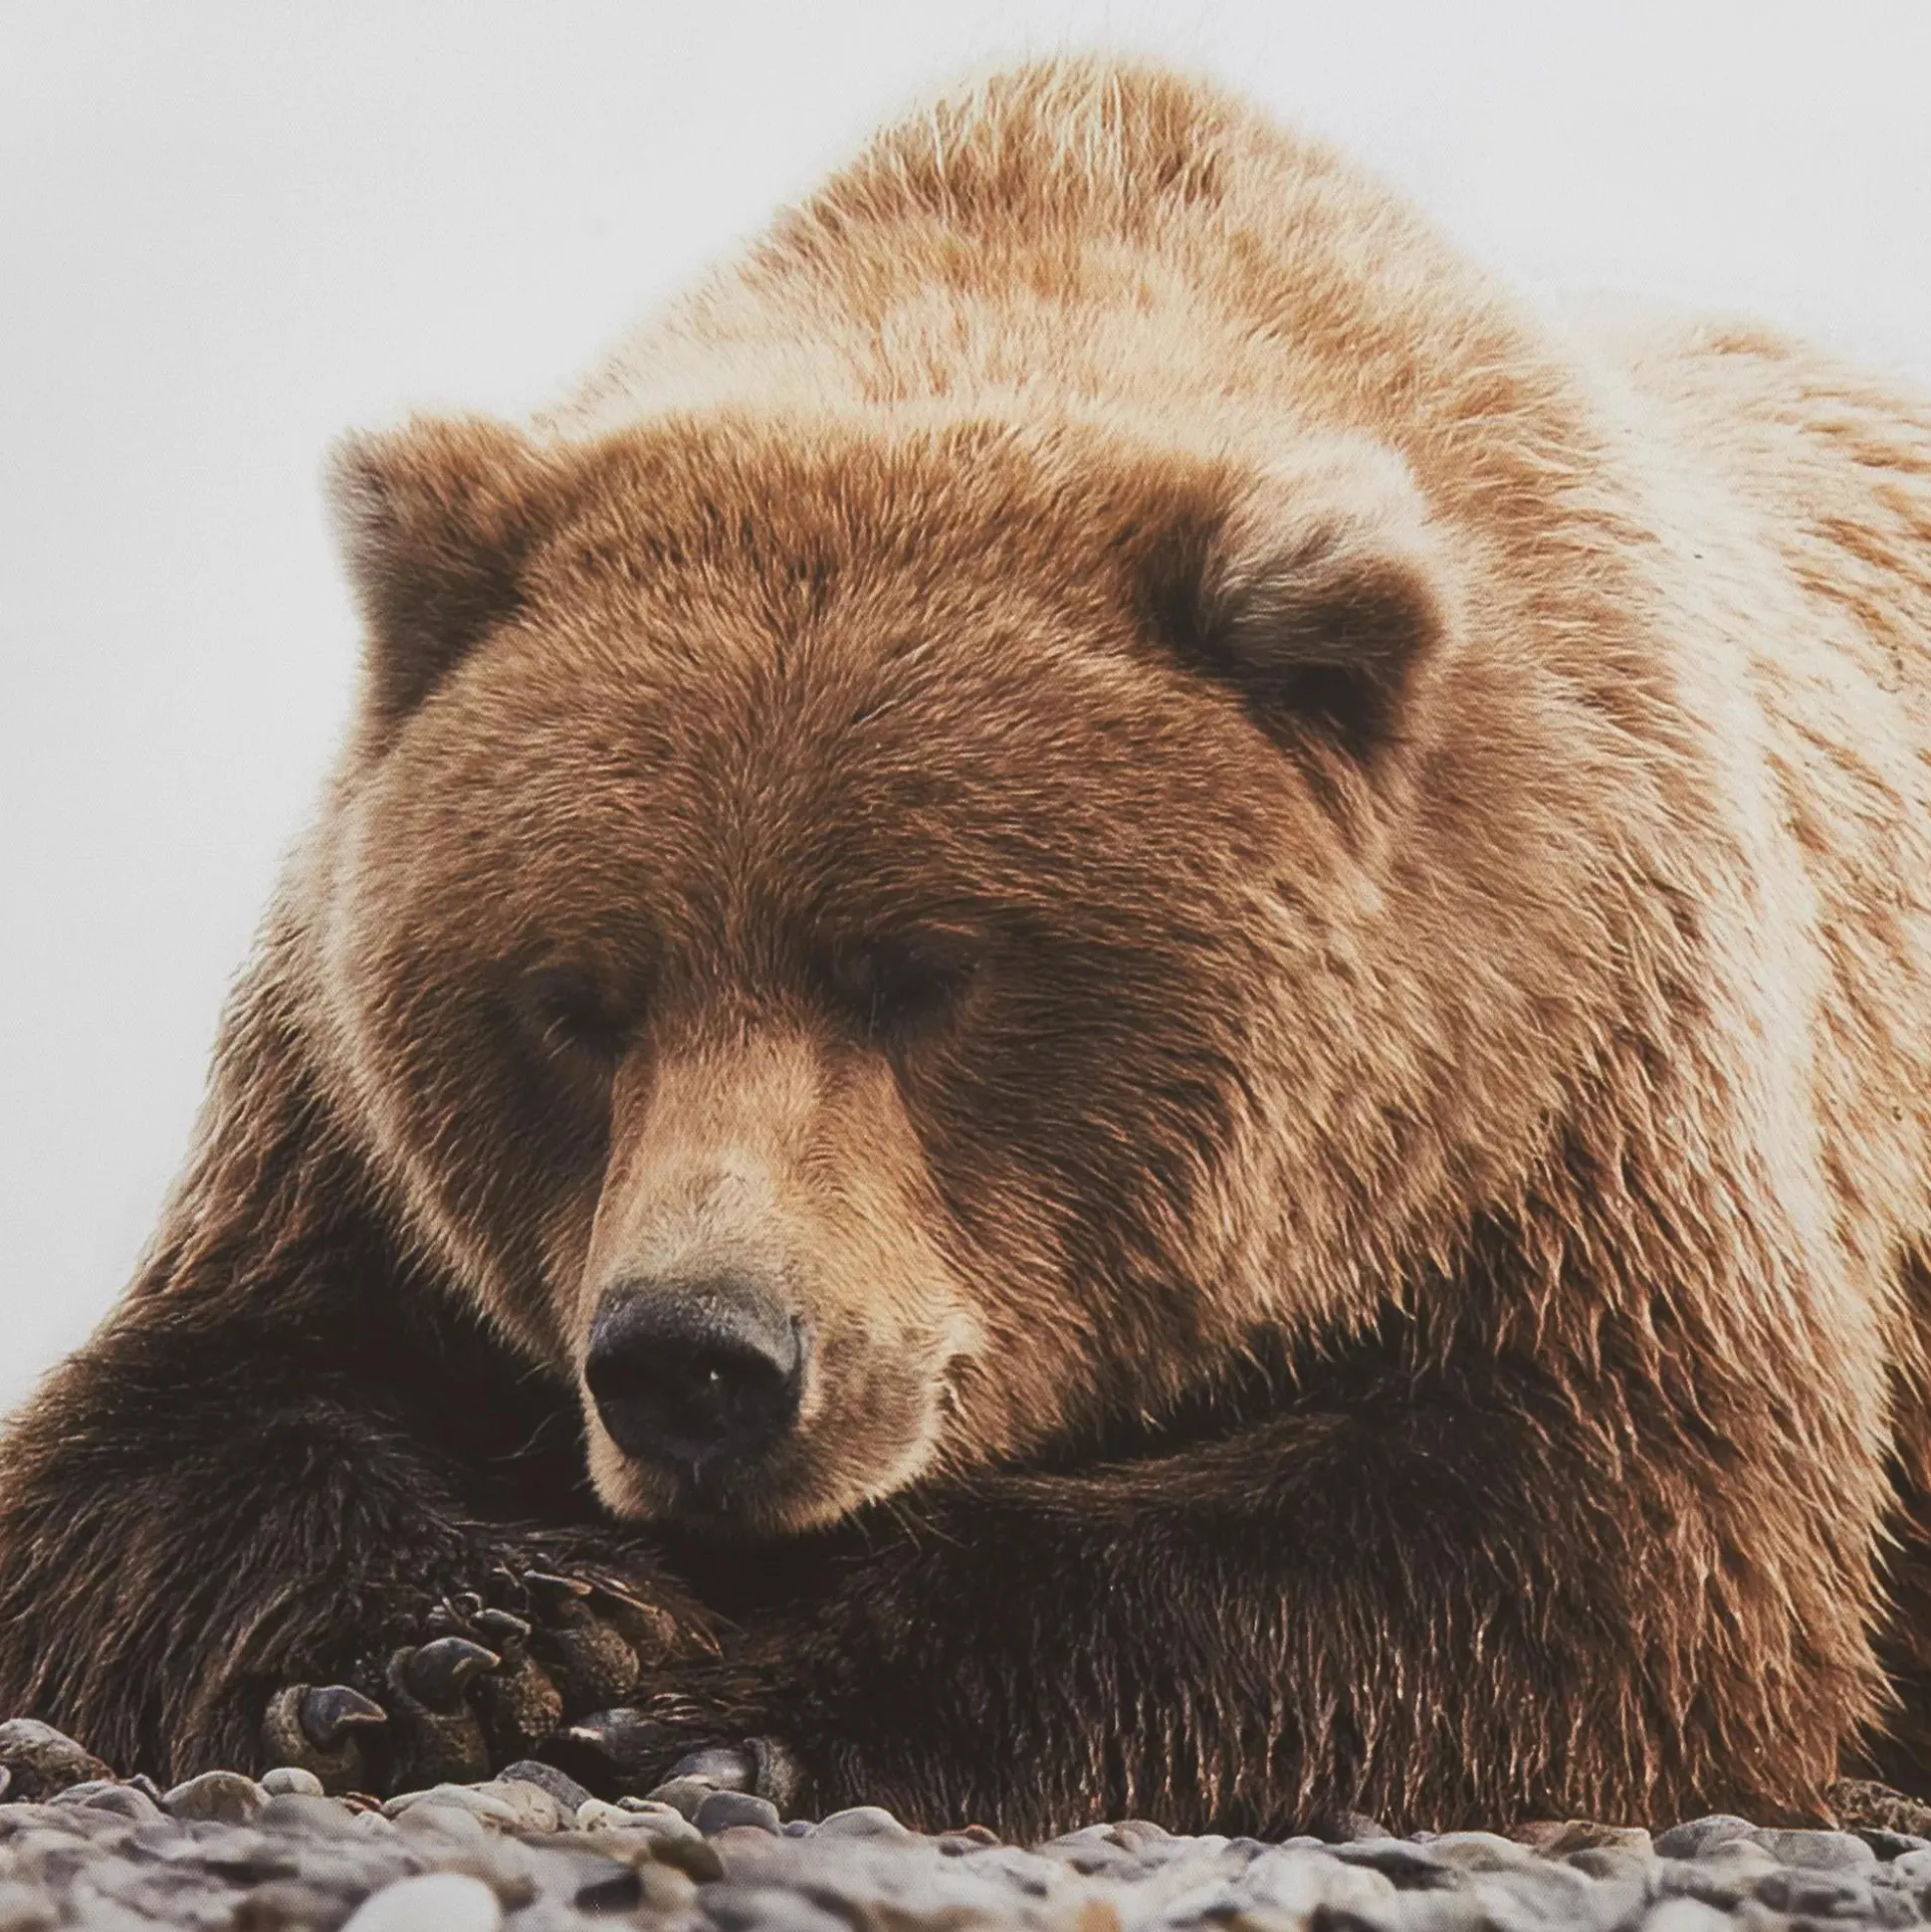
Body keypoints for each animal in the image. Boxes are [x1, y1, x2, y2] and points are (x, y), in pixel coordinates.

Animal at [4, 53, 1931, 1838]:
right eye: (573, 999)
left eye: (926, 973)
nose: (695, 1359)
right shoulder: (335, 1132)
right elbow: (155, 1444)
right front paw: (465, 1636)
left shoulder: (1570, 1083)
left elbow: (1576, 1539)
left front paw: (727, 1699)